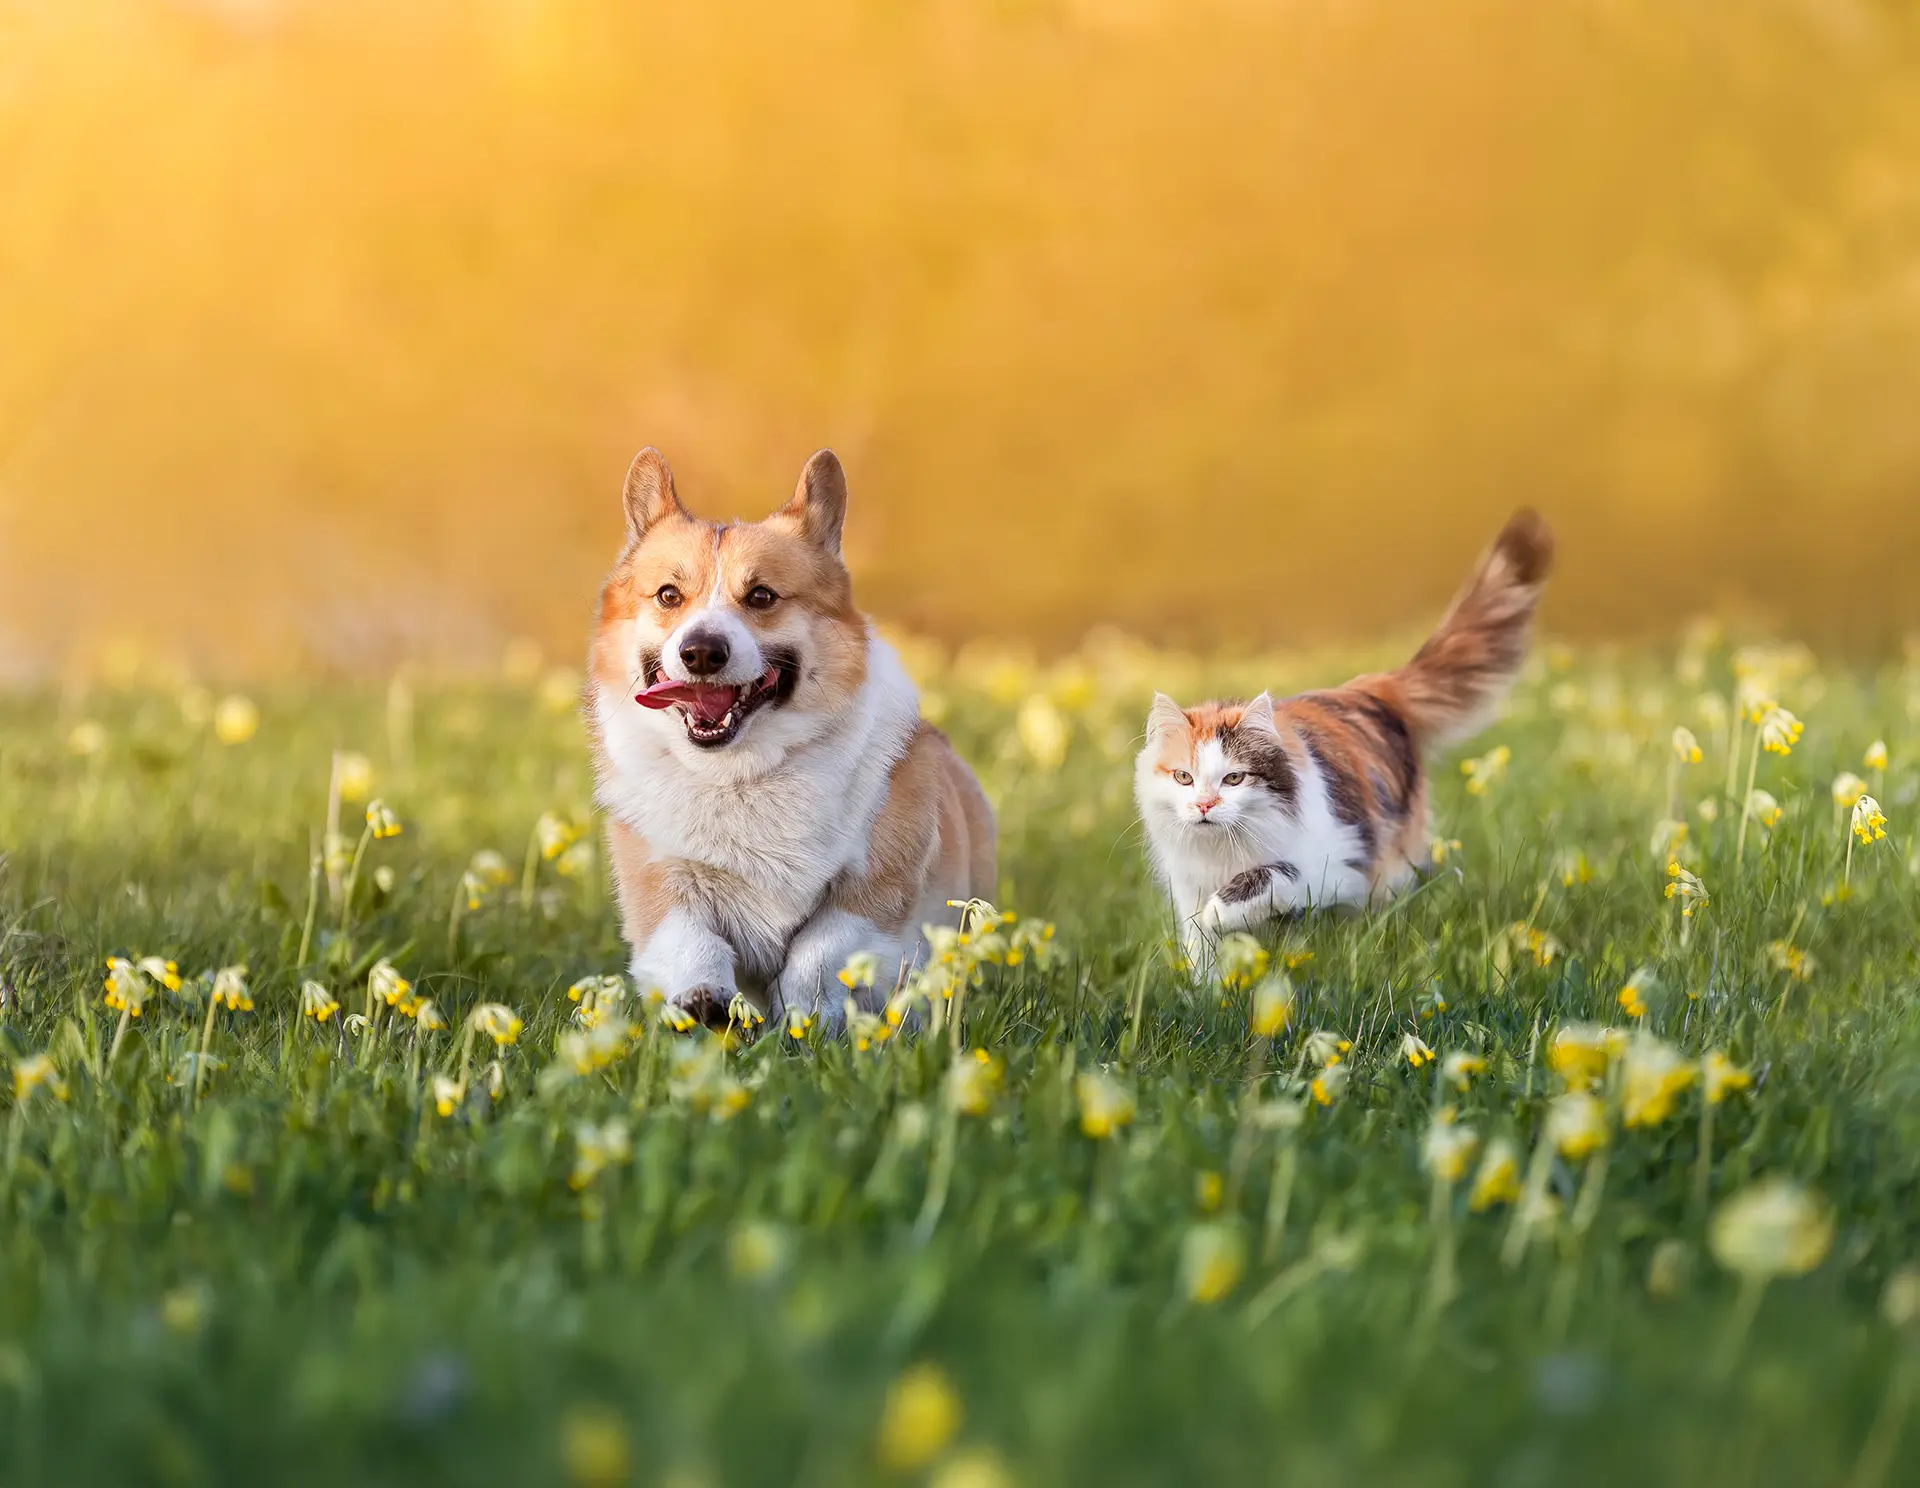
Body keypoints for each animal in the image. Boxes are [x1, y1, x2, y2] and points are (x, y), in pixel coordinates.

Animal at [587, 447, 998, 1029]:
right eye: (668, 595)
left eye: (761, 596)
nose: (701, 652)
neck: (742, 773)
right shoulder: (659, 876)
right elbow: (689, 942)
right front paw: (702, 1002)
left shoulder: (872, 889)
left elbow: (819, 950)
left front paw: (802, 1017)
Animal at [1128, 510, 1551, 967]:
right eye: (1184, 778)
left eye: (1234, 779)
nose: (1205, 805)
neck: (1222, 854)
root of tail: (1371, 686)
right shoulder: (1187, 888)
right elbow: (1201, 953)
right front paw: (1212, 979)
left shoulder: (1335, 864)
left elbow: (1271, 877)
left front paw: (1220, 912)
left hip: (1386, 865)